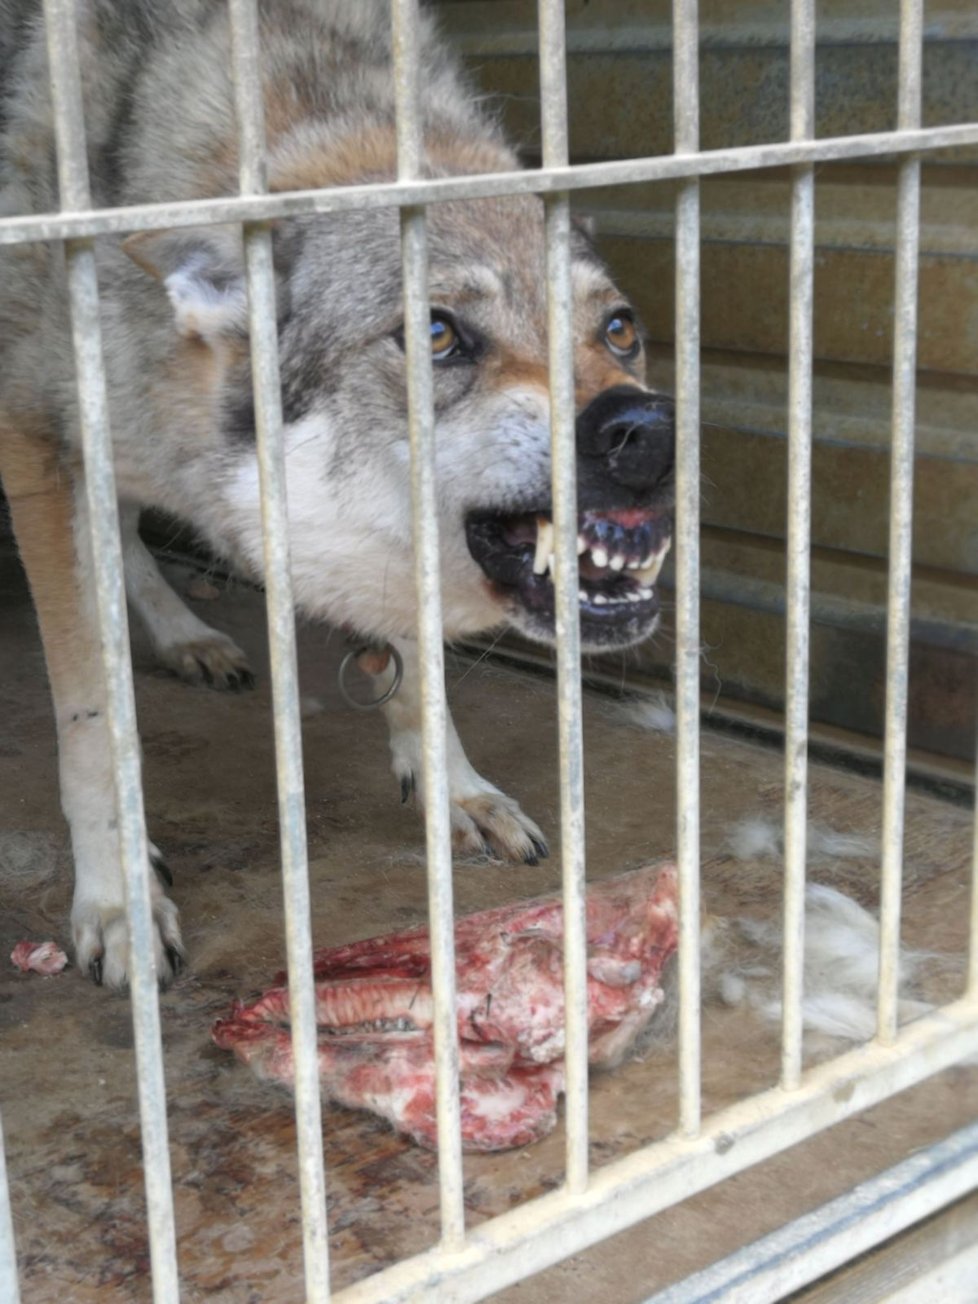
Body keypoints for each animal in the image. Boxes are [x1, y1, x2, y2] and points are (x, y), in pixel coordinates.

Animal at [0, 0, 672, 980]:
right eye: (436, 334)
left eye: (618, 330)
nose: (646, 432)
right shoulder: (39, 441)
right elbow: (91, 715)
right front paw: (121, 897)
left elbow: (419, 664)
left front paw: (454, 789)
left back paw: (189, 637)